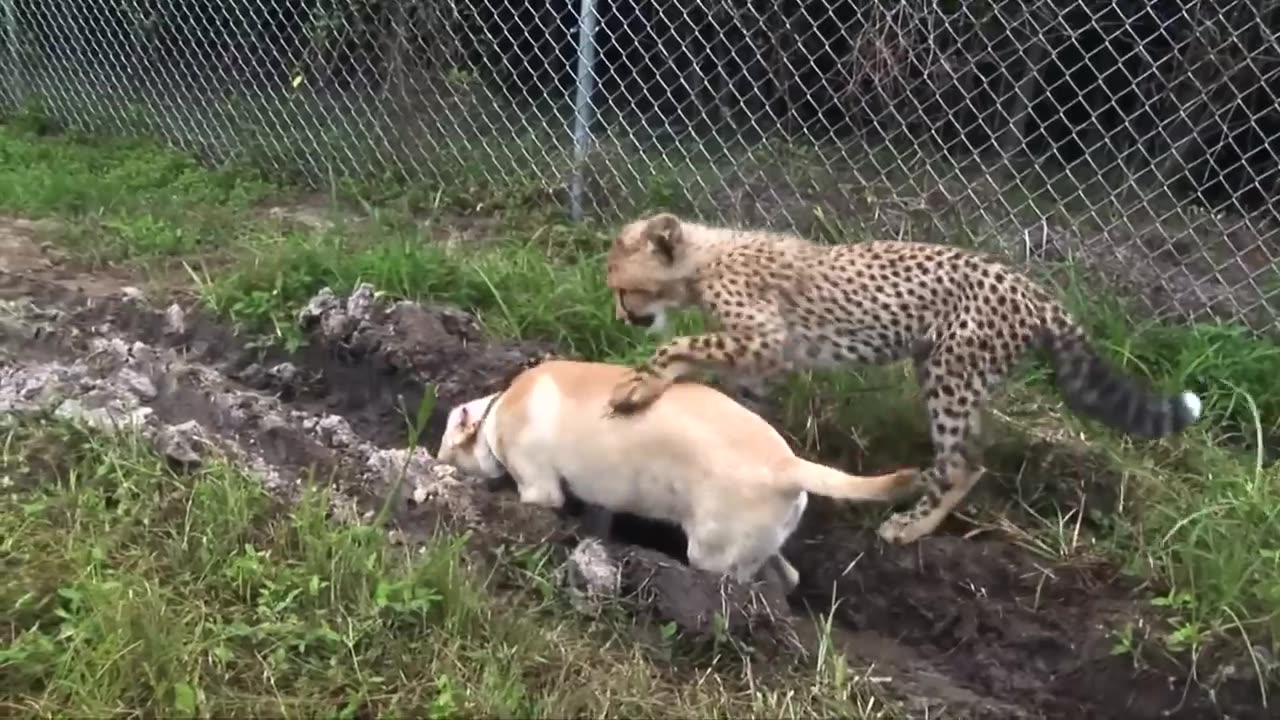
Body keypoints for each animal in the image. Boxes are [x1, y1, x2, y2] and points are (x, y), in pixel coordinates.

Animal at [599, 212, 1198, 543]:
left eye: (626, 288)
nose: (621, 317)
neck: (706, 259)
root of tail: (1030, 287)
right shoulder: (763, 361)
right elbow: (736, 396)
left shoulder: (768, 340)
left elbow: (680, 344)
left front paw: (640, 385)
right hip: (957, 376)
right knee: (974, 458)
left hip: (949, 375)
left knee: (961, 465)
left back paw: (910, 525)